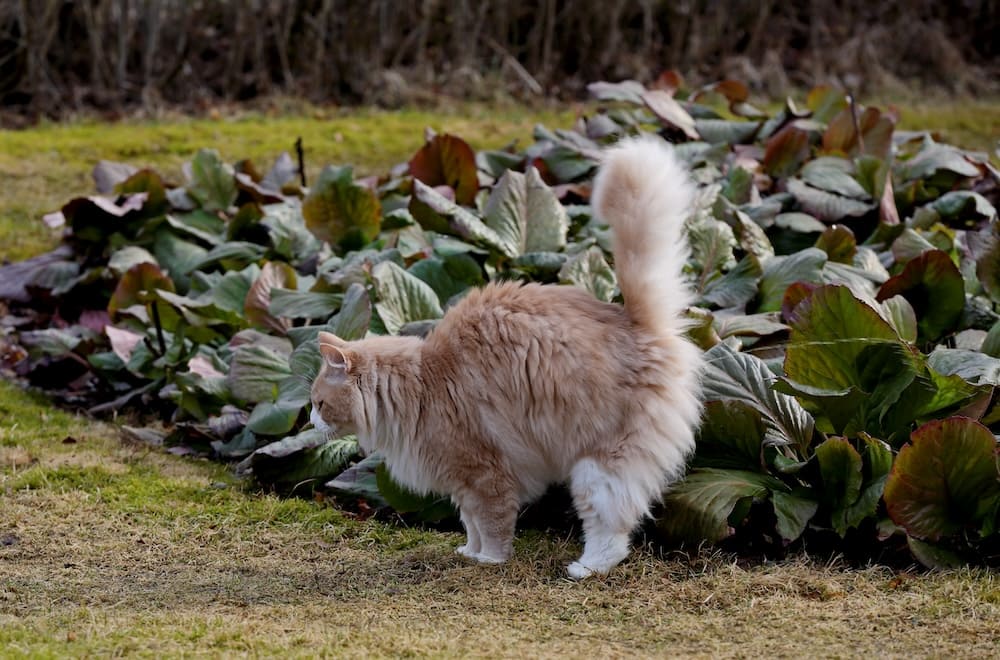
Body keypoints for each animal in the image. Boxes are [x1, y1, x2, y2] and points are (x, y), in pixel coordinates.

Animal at [312, 135, 704, 576]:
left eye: (319, 404)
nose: (310, 420)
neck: (419, 384)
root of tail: (636, 321)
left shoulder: (486, 474)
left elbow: (493, 524)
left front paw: (490, 560)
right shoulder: (463, 485)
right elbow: (470, 524)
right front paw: (470, 553)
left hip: (599, 466)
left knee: (610, 530)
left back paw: (585, 568)